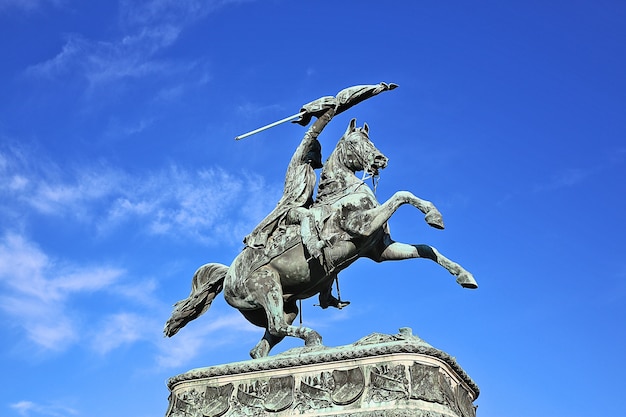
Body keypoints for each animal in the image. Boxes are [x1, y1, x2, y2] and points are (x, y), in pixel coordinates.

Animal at [163, 118, 476, 358]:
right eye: (354, 143)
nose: (380, 159)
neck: (344, 193)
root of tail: (228, 275)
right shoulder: (361, 227)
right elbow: (402, 194)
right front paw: (434, 216)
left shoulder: (379, 250)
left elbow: (426, 249)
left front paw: (464, 275)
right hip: (267, 286)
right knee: (276, 327)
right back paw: (313, 340)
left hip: (284, 304)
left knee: (263, 344)